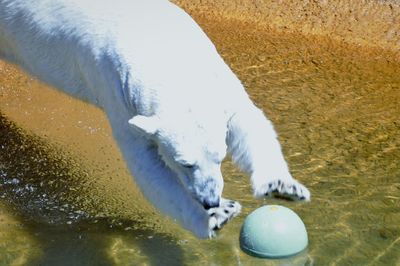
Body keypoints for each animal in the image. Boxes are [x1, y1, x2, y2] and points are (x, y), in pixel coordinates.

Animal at [0, 0, 310, 237]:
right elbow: (148, 169)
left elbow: (247, 120)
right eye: (185, 163)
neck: (159, 49)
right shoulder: (116, 91)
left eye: (221, 155)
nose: (209, 199)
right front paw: (217, 216)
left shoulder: (214, 74)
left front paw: (282, 187)